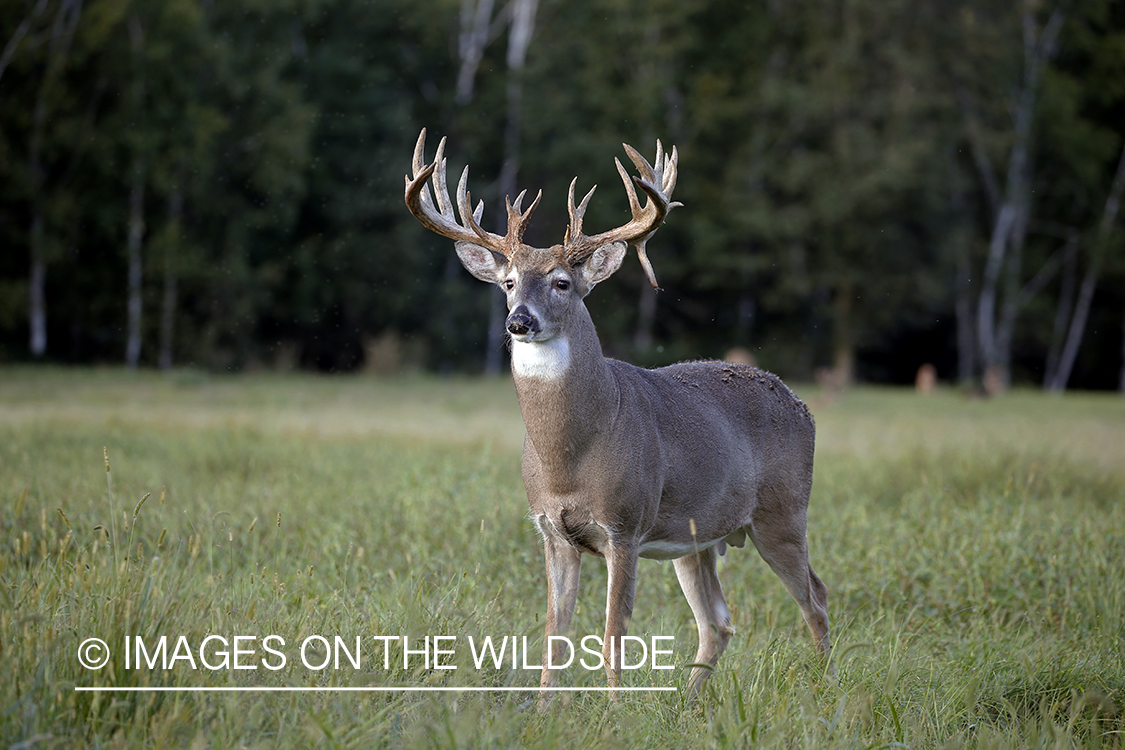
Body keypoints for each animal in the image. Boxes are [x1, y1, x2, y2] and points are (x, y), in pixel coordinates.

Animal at [402, 127, 828, 697]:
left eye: (561, 282)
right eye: (509, 282)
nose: (519, 321)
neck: (569, 459)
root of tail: (801, 405)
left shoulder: (625, 525)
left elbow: (611, 636)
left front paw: (612, 709)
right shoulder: (551, 531)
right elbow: (554, 636)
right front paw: (546, 710)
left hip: (783, 511)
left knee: (815, 599)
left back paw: (829, 688)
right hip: (700, 538)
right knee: (717, 621)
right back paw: (689, 704)